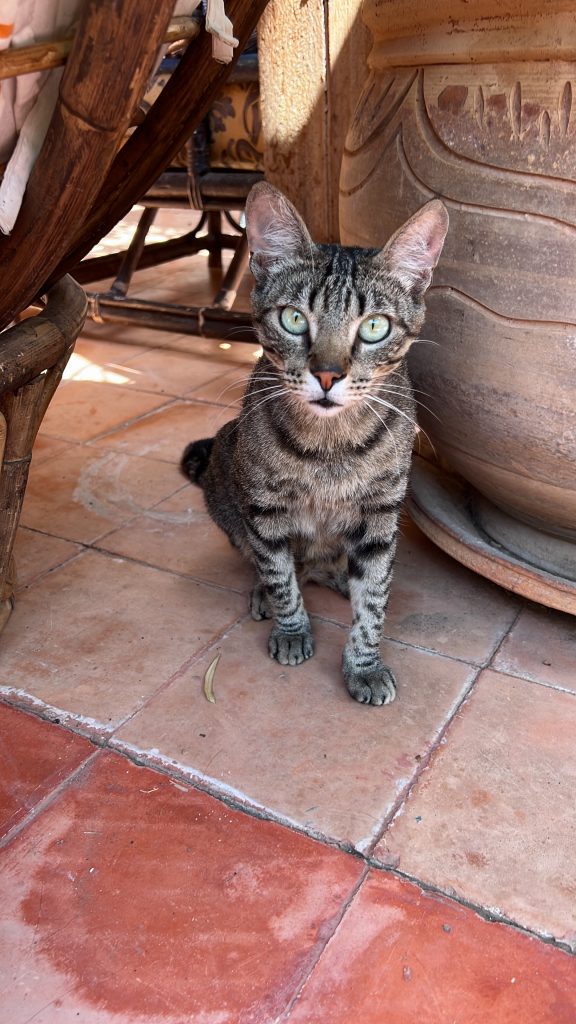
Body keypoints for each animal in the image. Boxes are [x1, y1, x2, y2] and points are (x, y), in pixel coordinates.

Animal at [181, 183, 448, 705]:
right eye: (293, 319)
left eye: (374, 327)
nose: (327, 375)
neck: (331, 447)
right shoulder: (263, 508)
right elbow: (280, 573)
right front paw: (291, 628)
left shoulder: (382, 513)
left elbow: (373, 600)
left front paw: (364, 664)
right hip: (226, 461)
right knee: (279, 563)